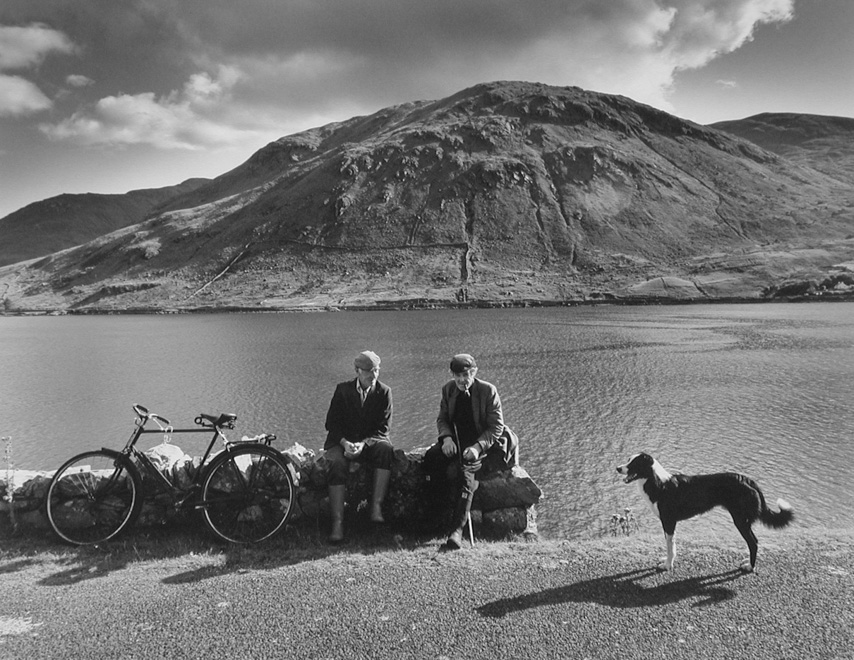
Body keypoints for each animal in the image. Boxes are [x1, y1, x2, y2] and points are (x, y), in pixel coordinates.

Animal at [616, 454, 796, 572]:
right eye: (628, 459)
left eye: (634, 462)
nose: (618, 468)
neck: (658, 483)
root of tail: (749, 480)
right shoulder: (667, 523)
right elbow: (671, 545)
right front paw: (667, 562)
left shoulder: (669, 521)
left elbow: (670, 546)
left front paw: (667, 565)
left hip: (740, 520)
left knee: (754, 542)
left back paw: (749, 567)